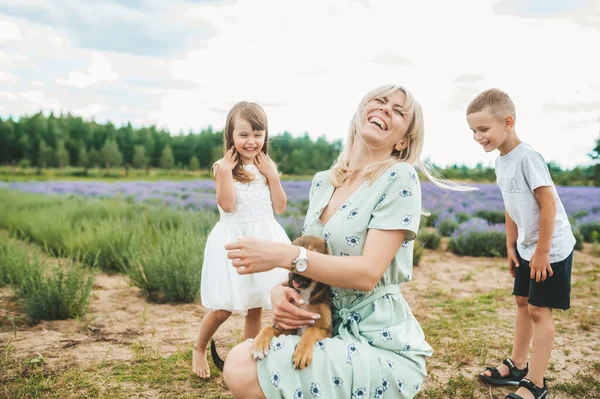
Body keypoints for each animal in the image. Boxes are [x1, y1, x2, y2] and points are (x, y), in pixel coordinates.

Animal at [210, 234, 332, 372]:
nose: (294, 276)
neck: (306, 292)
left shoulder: (327, 330)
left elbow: (311, 330)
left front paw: (301, 353)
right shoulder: (288, 327)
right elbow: (268, 327)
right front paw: (259, 345)